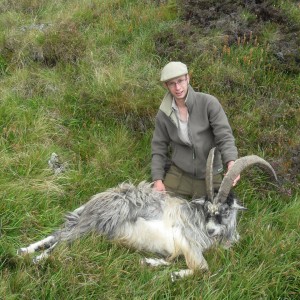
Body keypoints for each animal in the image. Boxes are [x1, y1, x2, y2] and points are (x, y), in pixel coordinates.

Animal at [18, 148, 276, 278]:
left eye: (225, 210)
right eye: (207, 209)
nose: (211, 230)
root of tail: (98, 199)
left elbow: (170, 259)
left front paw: (150, 262)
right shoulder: (187, 241)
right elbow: (202, 267)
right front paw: (174, 274)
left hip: (88, 223)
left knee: (58, 233)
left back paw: (24, 251)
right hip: (99, 221)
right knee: (63, 239)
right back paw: (39, 259)